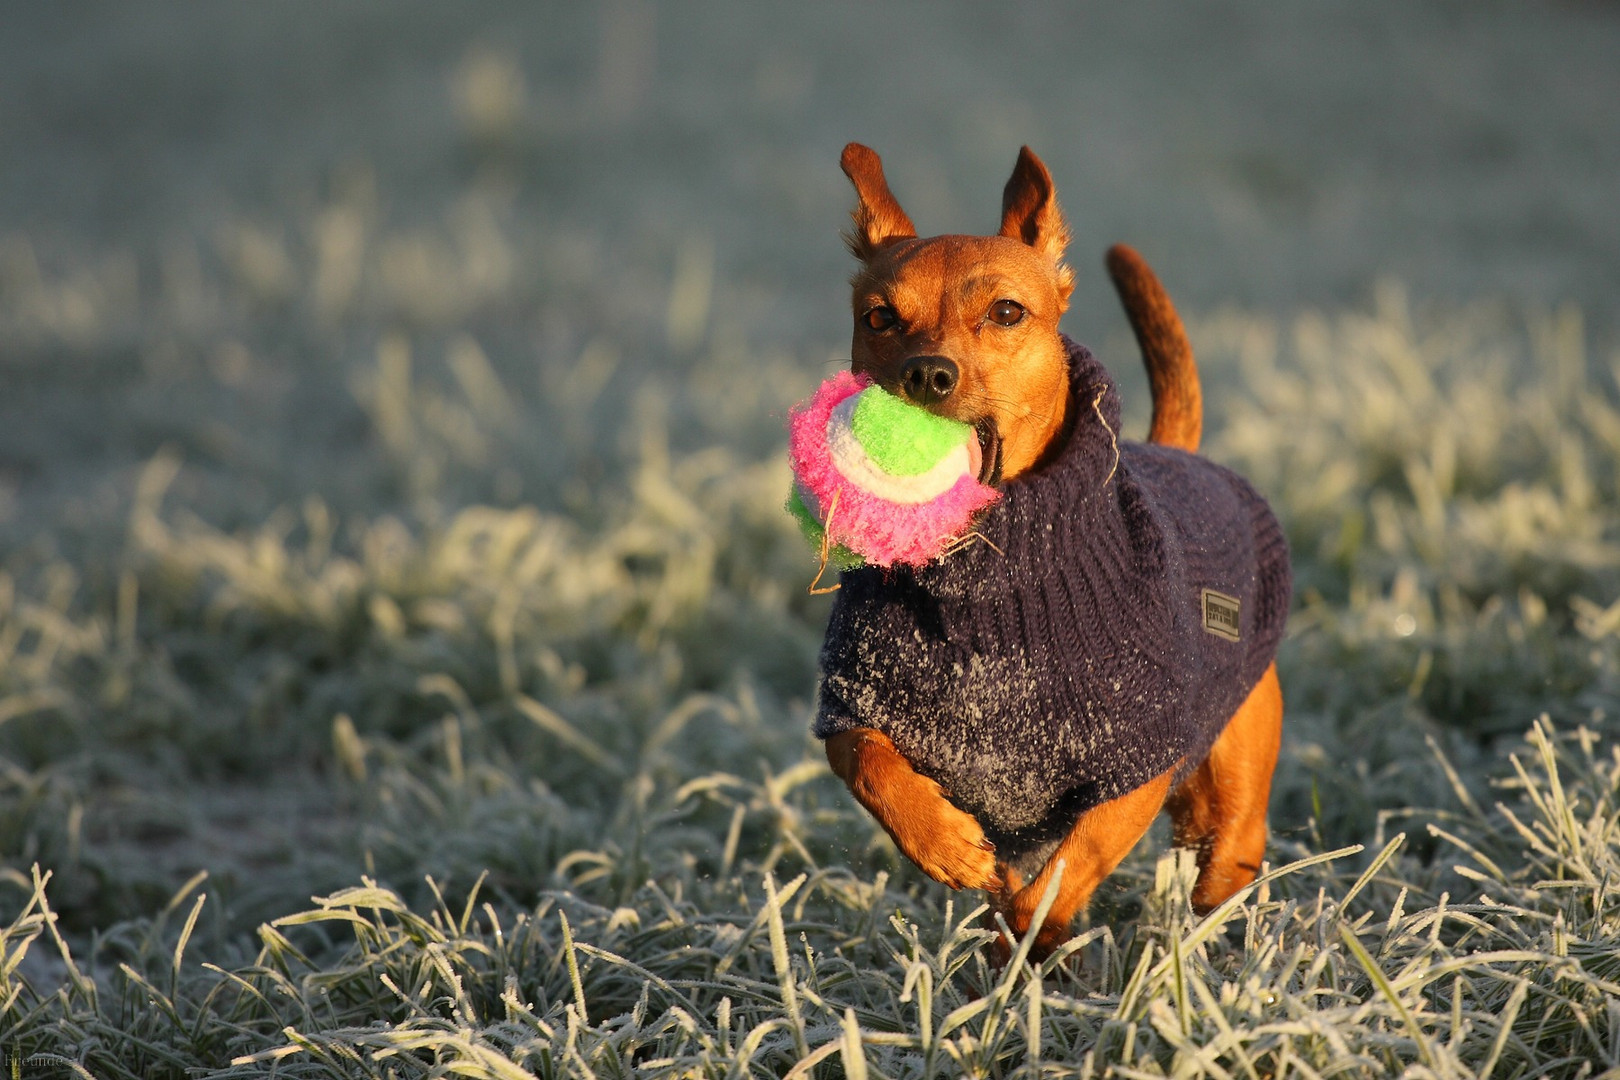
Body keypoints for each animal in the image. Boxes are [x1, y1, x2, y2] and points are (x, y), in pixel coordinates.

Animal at [822, 139, 1289, 958]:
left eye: (1007, 312)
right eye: (879, 317)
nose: (926, 374)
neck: (987, 586)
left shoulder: (1138, 765)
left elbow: (1068, 868)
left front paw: (1030, 931)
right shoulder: (851, 703)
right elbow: (870, 762)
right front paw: (944, 844)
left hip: (1228, 792)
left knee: (1224, 858)